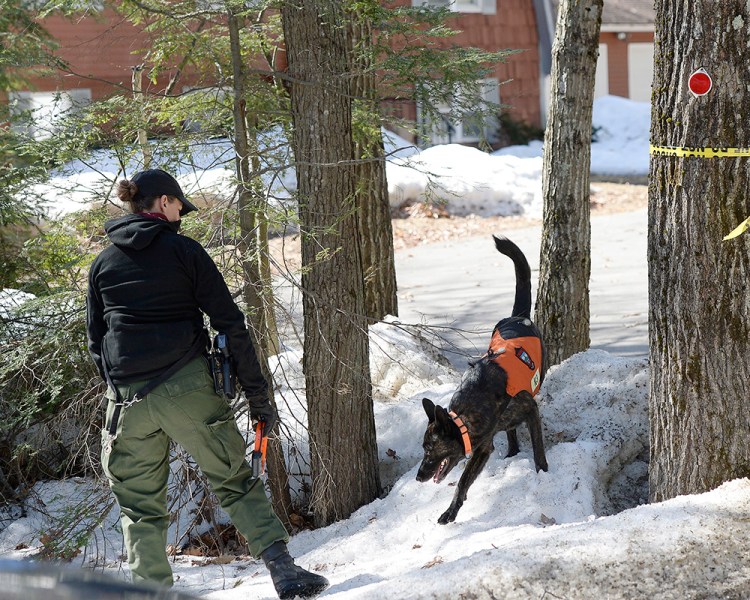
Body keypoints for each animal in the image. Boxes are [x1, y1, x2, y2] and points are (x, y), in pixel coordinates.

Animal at [418, 236, 548, 524]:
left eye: (429, 450)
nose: (418, 477)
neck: (469, 412)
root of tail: (517, 316)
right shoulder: (483, 447)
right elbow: (463, 482)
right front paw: (450, 511)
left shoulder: (530, 410)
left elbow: (538, 448)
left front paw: (544, 474)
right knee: (510, 431)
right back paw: (512, 451)